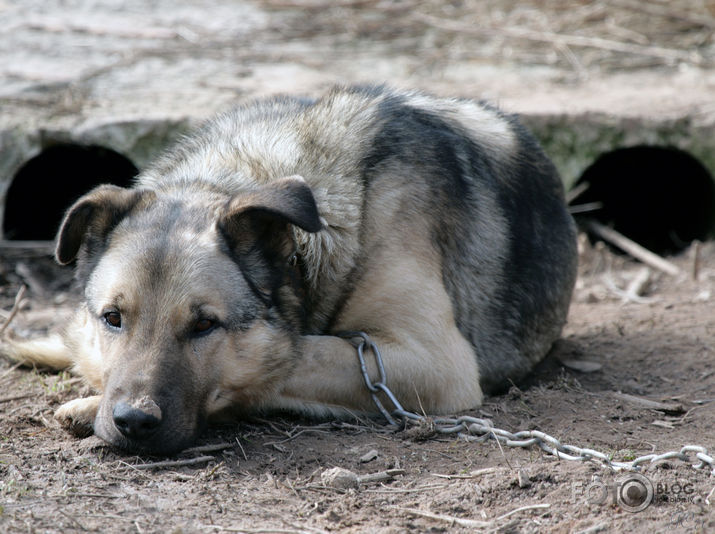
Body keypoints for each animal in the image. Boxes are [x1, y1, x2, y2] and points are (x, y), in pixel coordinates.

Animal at [0, 86, 580, 454]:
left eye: (205, 325)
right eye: (114, 318)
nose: (134, 423)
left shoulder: (433, 361)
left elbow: (288, 357)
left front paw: (90, 402)